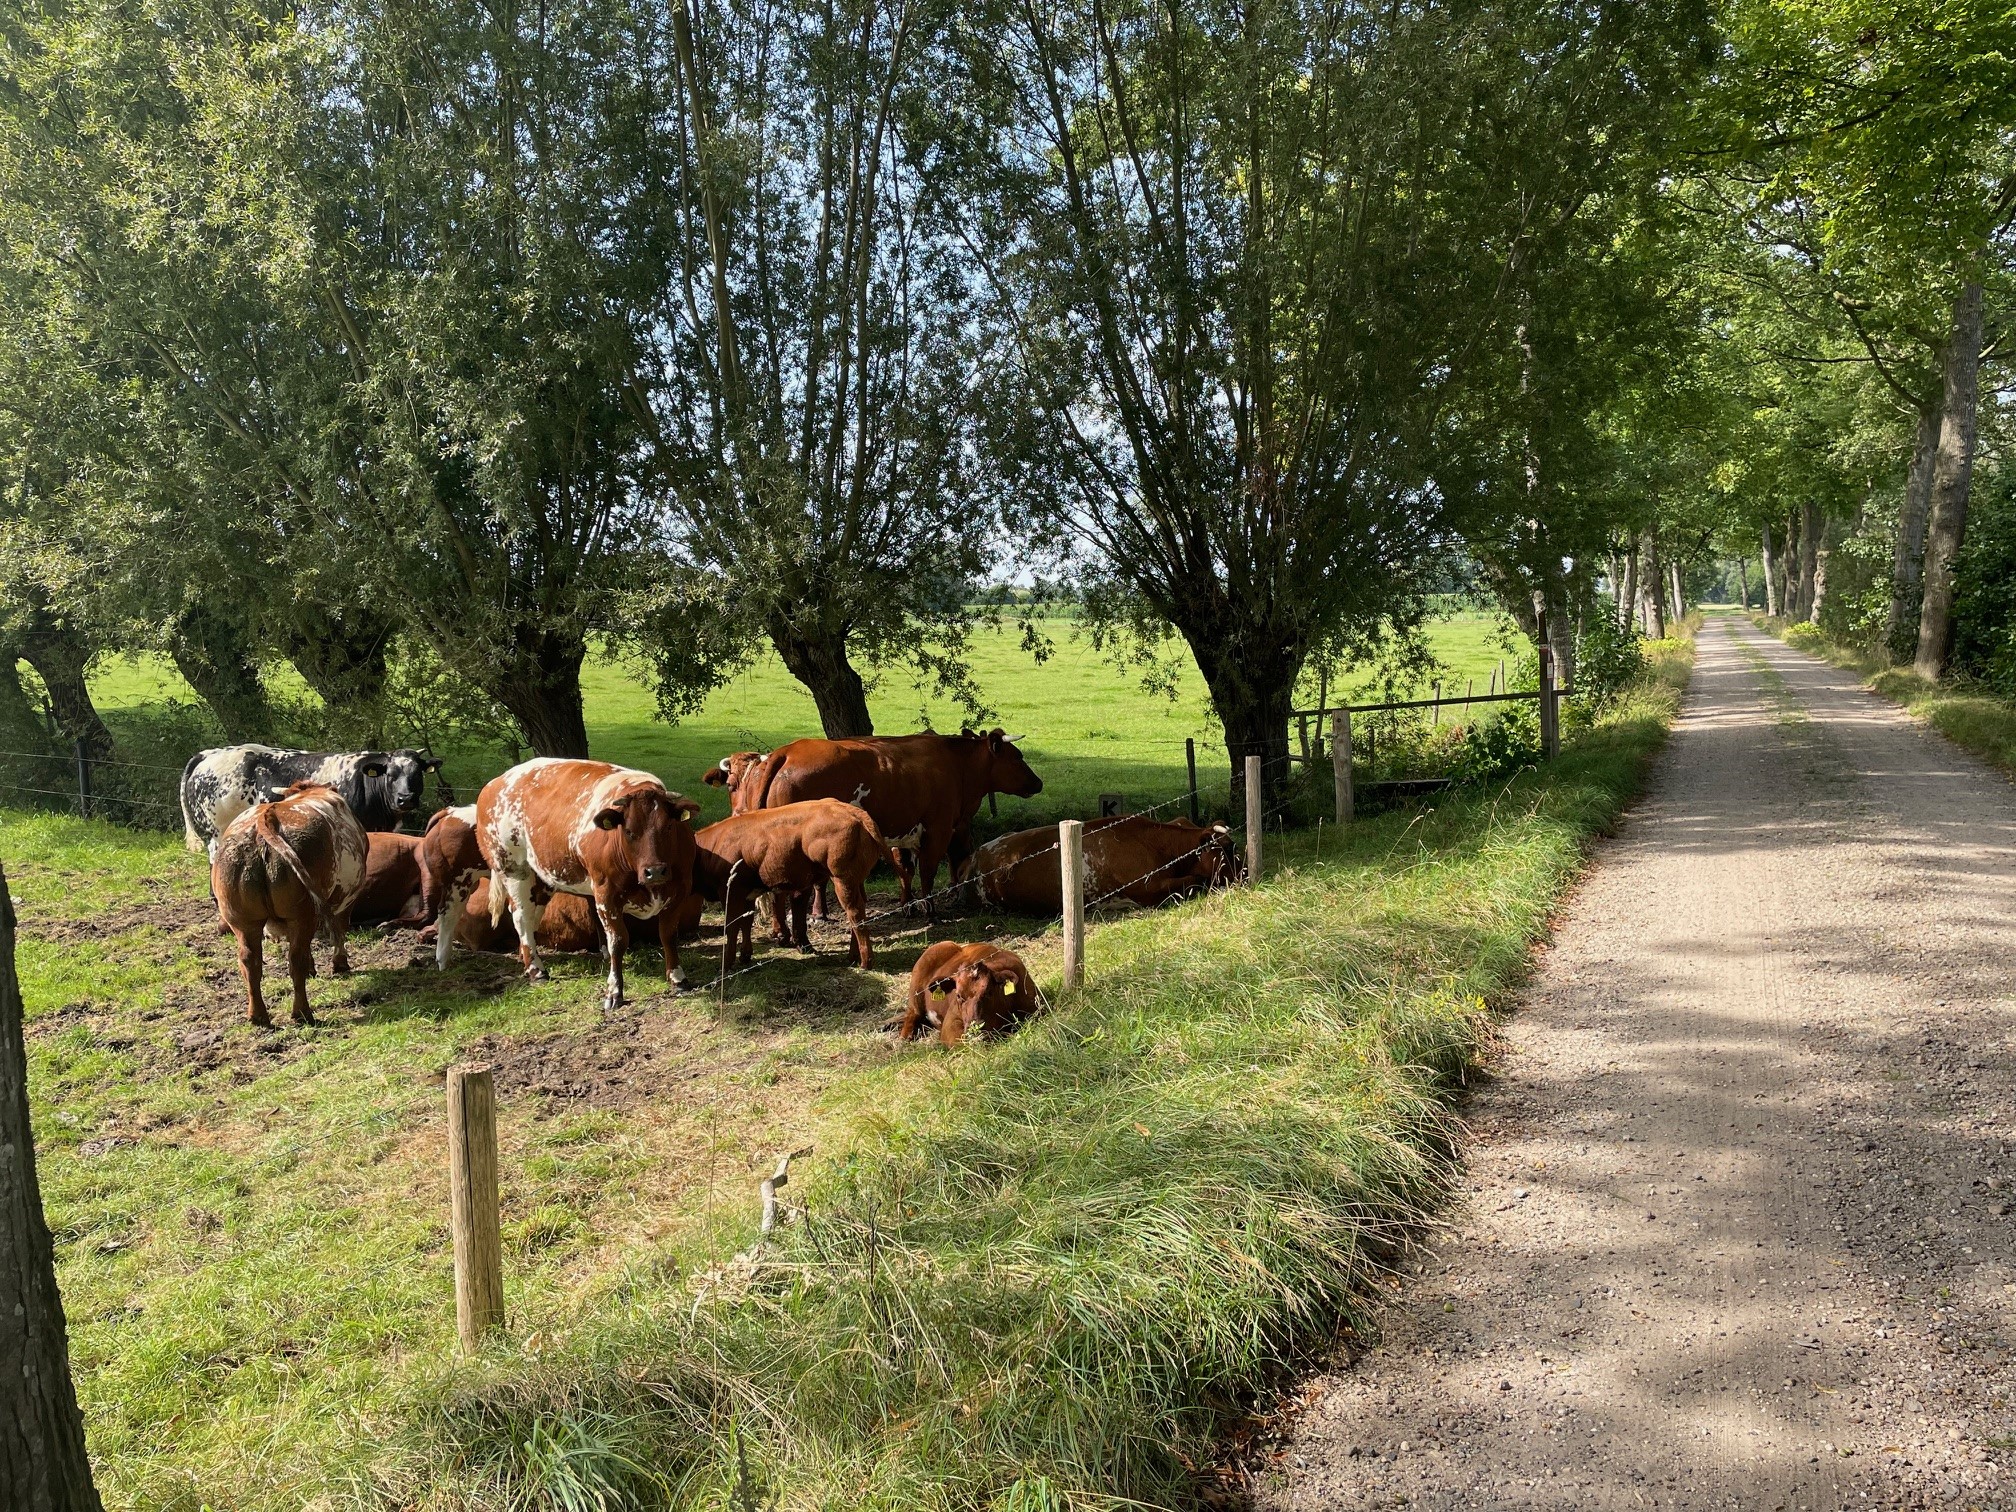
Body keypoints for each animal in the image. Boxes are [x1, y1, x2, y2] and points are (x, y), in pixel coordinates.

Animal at [211, 782, 370, 1032]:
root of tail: (264, 822)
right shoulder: (347, 898)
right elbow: (340, 929)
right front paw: (340, 963)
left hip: (242, 919)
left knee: (250, 961)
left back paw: (258, 1016)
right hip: (303, 914)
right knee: (296, 959)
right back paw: (302, 1013)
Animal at [471, 758, 701, 1020]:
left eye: (668, 827)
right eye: (629, 831)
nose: (655, 871)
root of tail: (495, 783)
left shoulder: (679, 891)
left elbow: (668, 935)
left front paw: (678, 979)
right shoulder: (606, 896)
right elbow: (618, 941)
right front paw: (614, 992)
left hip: (544, 876)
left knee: (533, 917)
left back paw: (526, 957)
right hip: (514, 869)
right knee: (521, 917)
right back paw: (537, 970)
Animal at [749, 729, 1048, 907]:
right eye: (1017, 757)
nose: (1039, 782)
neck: (957, 765)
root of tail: (788, 751)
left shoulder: (906, 831)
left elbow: (906, 870)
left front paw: (908, 905)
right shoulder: (939, 829)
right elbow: (928, 870)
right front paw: (929, 910)